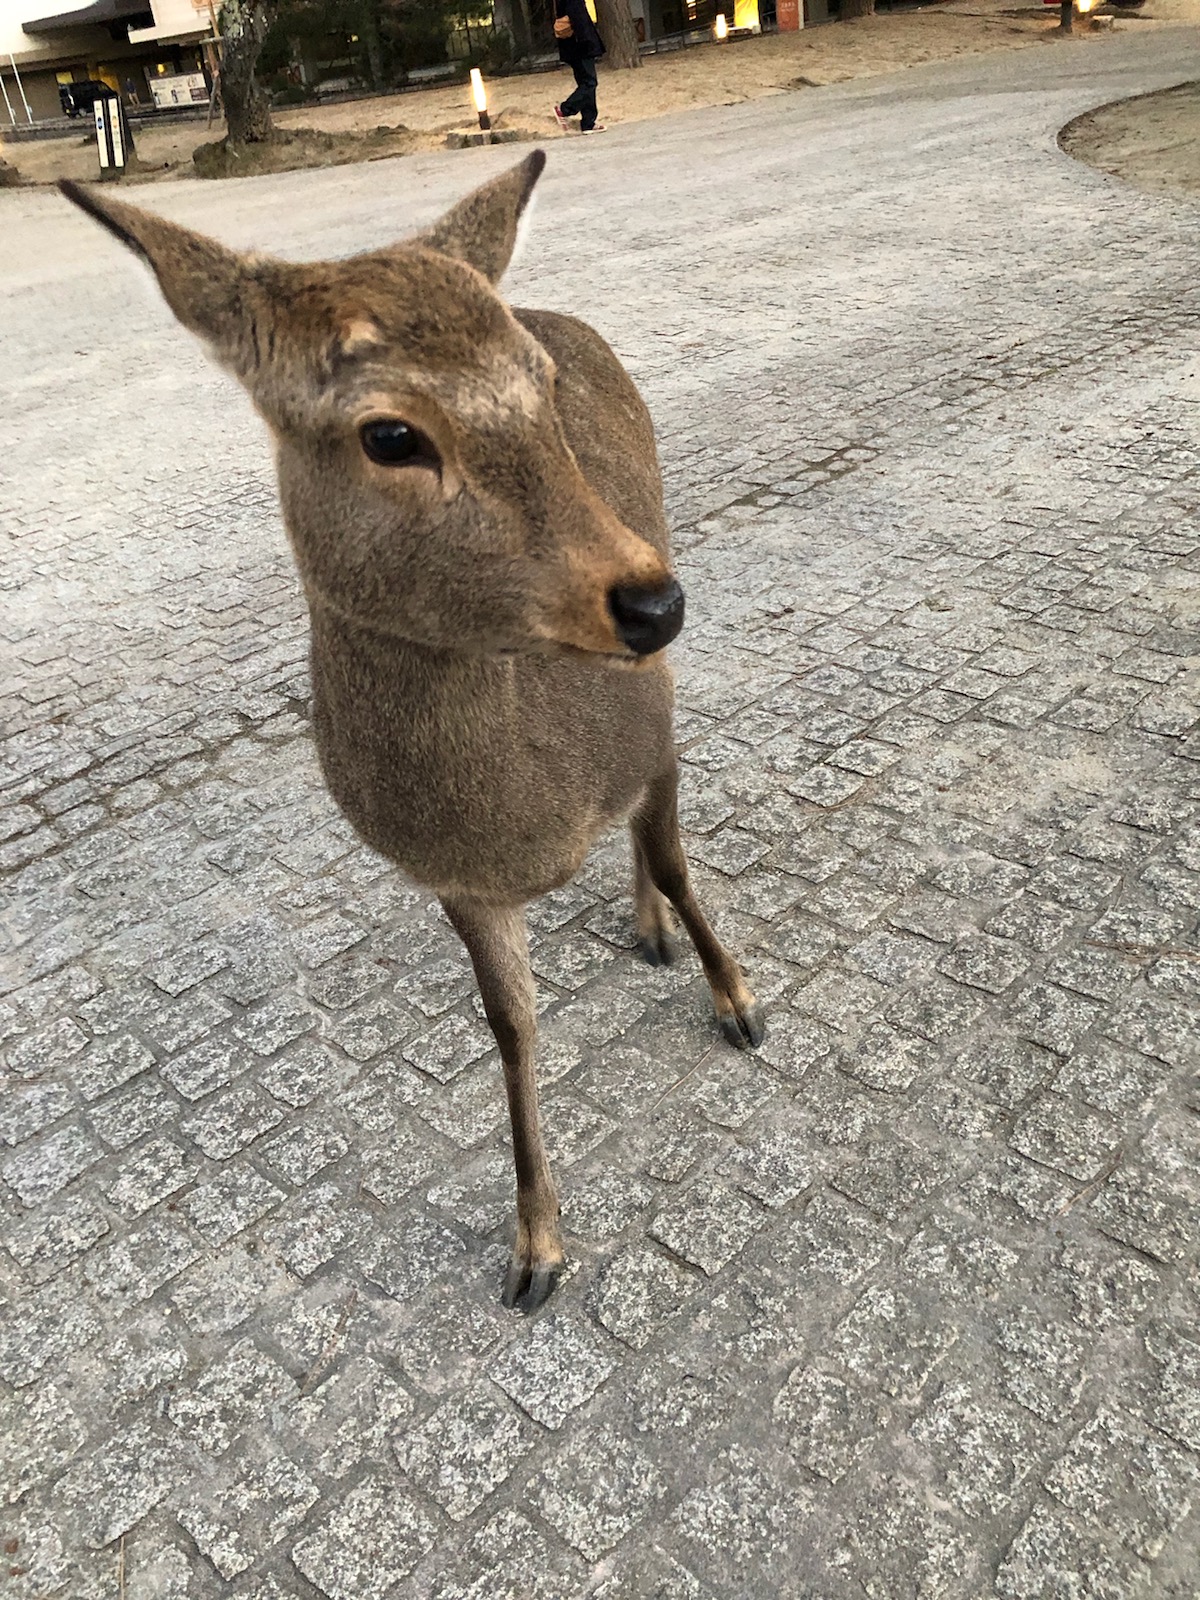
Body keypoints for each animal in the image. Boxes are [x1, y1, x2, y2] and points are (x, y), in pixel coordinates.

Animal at [61, 147, 764, 1312]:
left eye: (543, 390)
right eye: (390, 433)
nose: (655, 605)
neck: (534, 812)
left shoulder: (655, 725)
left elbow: (672, 859)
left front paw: (739, 1001)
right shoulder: (453, 880)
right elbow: (511, 1026)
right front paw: (535, 1251)